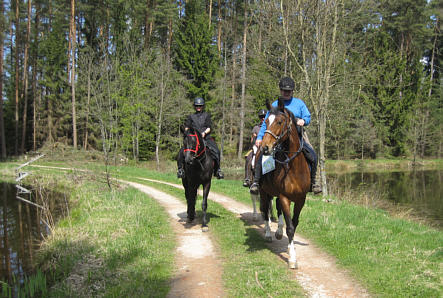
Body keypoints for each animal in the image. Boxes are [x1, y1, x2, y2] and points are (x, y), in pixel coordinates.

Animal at [258, 97, 310, 268]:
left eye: (280, 122)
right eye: (266, 121)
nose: (265, 147)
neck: (293, 167)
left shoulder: (301, 199)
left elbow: (294, 223)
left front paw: (289, 248)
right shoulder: (285, 197)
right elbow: (290, 228)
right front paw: (292, 259)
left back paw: (278, 233)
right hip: (263, 192)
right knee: (265, 210)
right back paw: (268, 233)